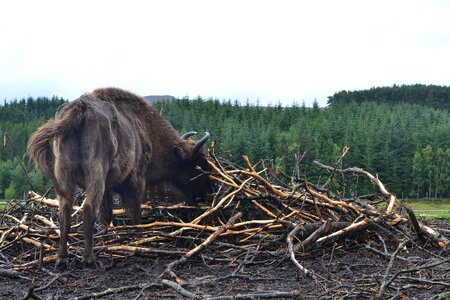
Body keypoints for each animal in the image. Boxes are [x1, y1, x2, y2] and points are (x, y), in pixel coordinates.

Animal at [26, 87, 213, 270]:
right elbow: (135, 212)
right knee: (88, 208)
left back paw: (61, 259)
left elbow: (107, 215)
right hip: (96, 173)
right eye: (198, 164)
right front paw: (138, 236)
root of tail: (80, 107)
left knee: (65, 210)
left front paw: (107, 238)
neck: (145, 129)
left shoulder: (108, 188)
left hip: (63, 174)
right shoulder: (136, 180)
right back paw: (90, 259)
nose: (207, 192)